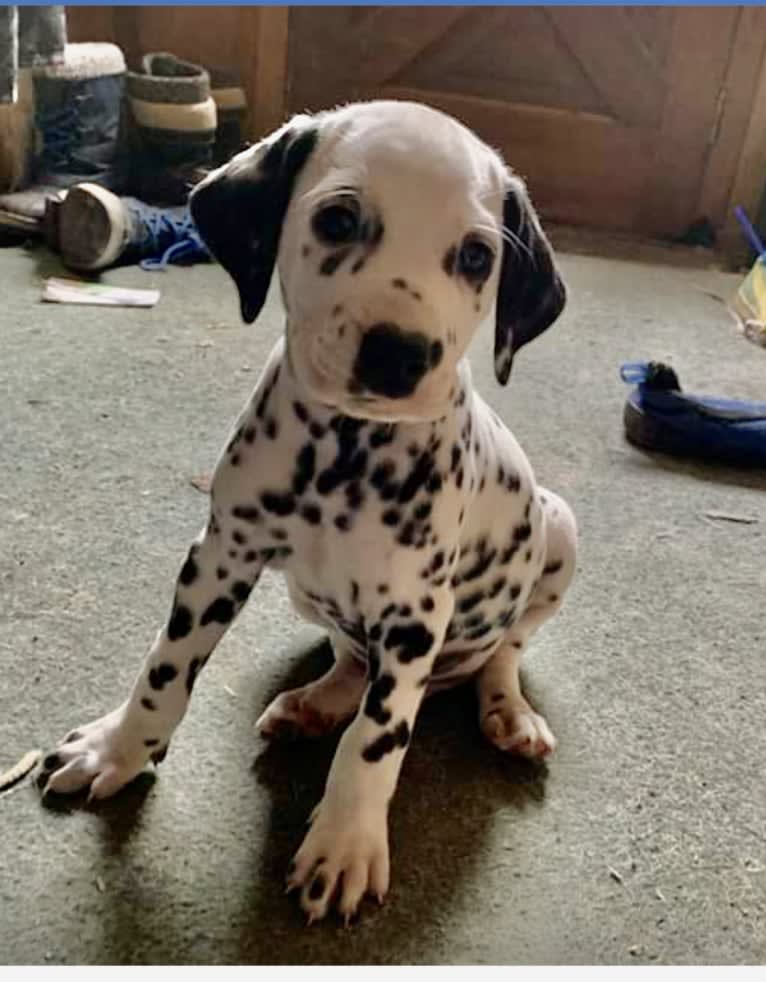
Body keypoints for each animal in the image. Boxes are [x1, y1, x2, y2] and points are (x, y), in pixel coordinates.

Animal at [36, 104, 576, 928]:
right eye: (338, 219)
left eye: (477, 257)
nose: (399, 353)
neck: (345, 454)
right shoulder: (219, 555)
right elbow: (165, 669)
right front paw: (120, 750)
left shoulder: (416, 616)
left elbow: (377, 741)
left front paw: (345, 845)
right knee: (350, 661)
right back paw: (316, 703)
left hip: (556, 529)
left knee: (499, 653)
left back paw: (506, 712)